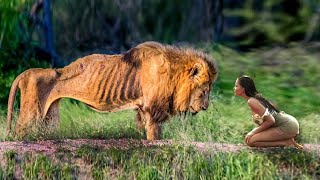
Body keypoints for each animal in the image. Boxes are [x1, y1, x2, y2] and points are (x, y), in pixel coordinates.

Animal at [6, 41, 218, 140]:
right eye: (204, 91)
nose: (205, 107)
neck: (173, 73)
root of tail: (26, 73)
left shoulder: (143, 109)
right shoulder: (152, 110)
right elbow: (154, 135)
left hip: (50, 116)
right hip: (32, 112)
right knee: (19, 132)